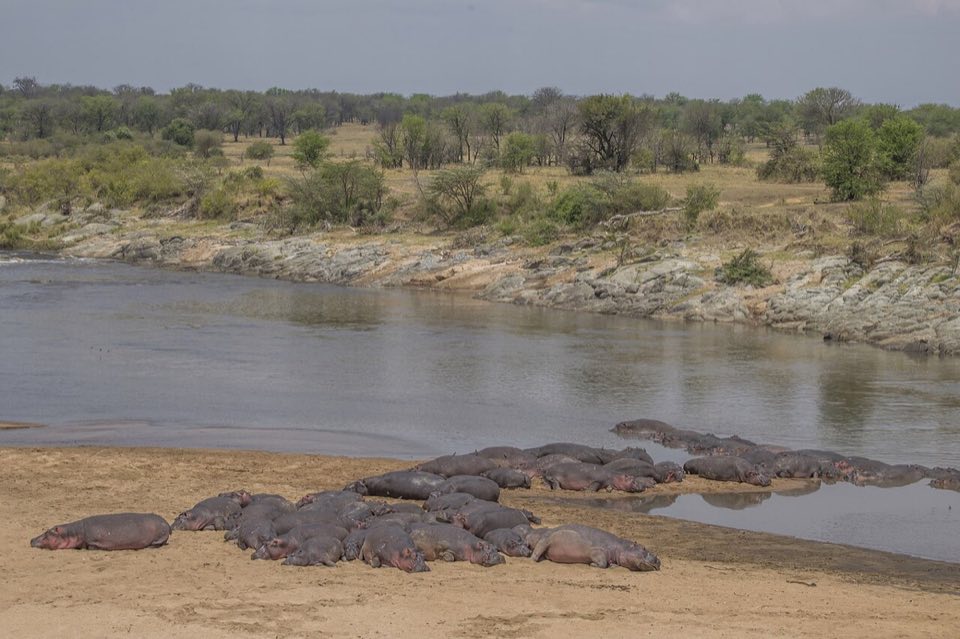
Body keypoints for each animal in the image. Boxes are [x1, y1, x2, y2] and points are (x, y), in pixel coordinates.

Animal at [530, 524, 660, 572]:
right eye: (643, 547)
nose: (658, 560)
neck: (621, 547)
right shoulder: (596, 551)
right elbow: (602, 563)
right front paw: (592, 564)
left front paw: (613, 565)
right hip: (545, 540)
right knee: (536, 554)